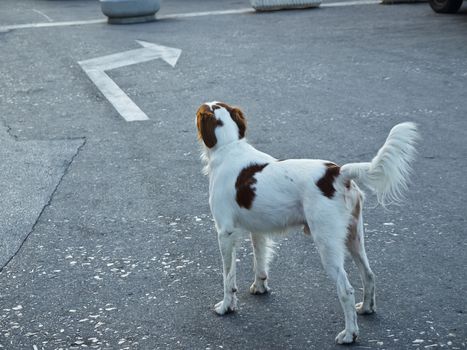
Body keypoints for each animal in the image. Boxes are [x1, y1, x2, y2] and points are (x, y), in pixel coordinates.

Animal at [196, 101, 418, 344]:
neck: (229, 147)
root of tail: (338, 173)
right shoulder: (258, 230)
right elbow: (260, 262)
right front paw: (260, 287)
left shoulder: (225, 232)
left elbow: (228, 278)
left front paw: (226, 307)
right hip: (354, 238)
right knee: (369, 274)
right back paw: (366, 308)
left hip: (327, 244)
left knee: (346, 289)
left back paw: (349, 334)